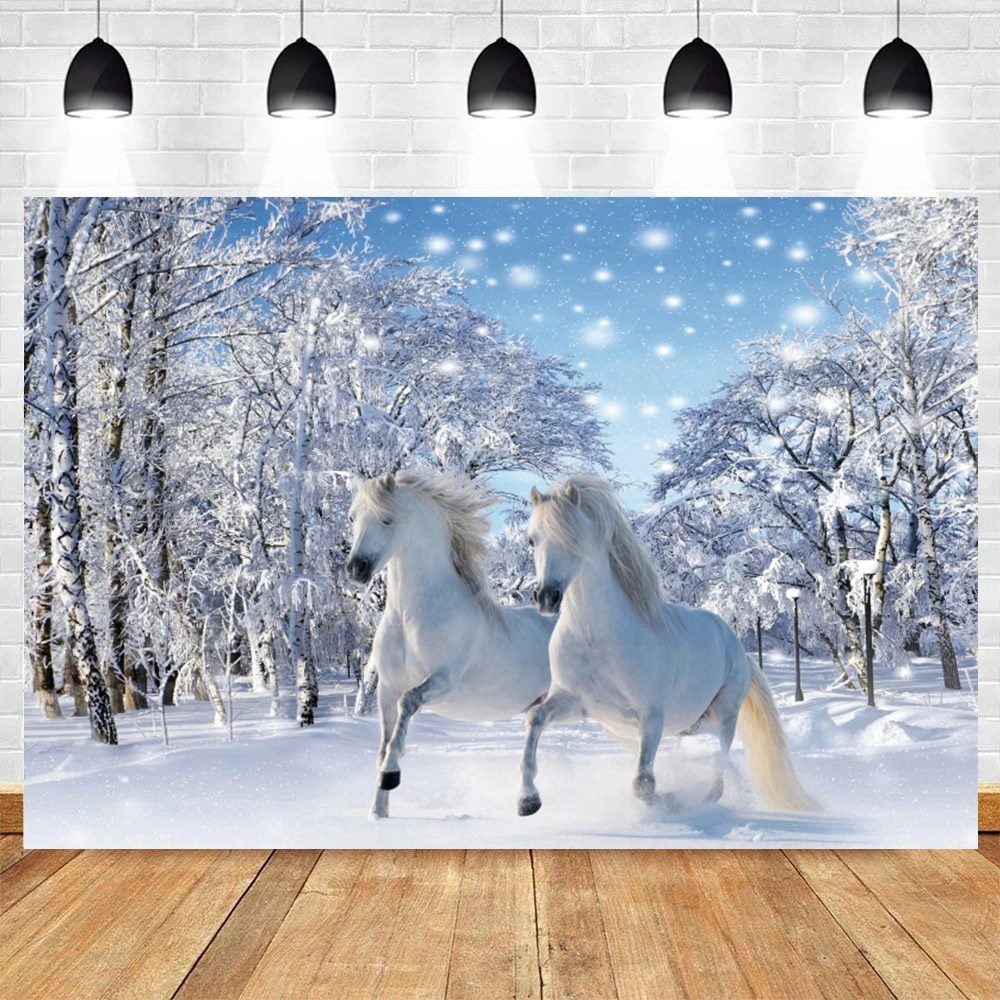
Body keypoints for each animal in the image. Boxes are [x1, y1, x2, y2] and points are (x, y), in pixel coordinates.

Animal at [346, 470, 554, 819]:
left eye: (387, 519)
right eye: (353, 517)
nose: (355, 569)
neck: (411, 616)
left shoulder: (444, 681)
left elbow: (408, 706)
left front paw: (391, 774)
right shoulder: (386, 688)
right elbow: (383, 744)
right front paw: (378, 813)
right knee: (534, 730)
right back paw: (528, 801)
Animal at [518, 474, 815, 818]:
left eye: (573, 537)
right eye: (532, 540)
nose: (546, 597)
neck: (596, 638)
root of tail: (737, 647)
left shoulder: (651, 716)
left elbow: (643, 784)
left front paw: (672, 801)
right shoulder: (576, 703)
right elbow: (535, 719)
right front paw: (527, 800)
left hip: (724, 713)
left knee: (720, 758)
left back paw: (706, 800)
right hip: (669, 725)